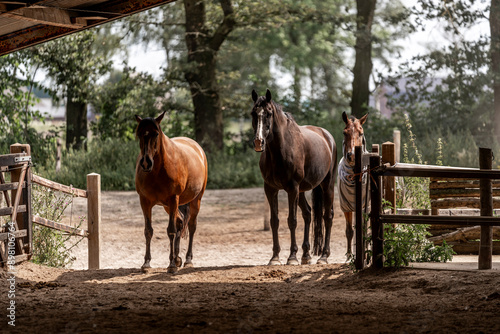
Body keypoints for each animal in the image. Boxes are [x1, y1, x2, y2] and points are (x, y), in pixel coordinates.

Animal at [134, 111, 208, 272]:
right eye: (139, 133)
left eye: (156, 133)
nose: (146, 163)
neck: (157, 171)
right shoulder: (144, 201)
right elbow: (148, 231)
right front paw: (146, 263)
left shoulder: (174, 198)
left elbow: (171, 231)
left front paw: (172, 265)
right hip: (168, 206)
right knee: (180, 221)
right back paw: (177, 257)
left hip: (195, 200)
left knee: (191, 226)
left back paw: (187, 259)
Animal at [252, 89, 338, 266]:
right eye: (253, 113)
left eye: (269, 113)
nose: (258, 142)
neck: (280, 150)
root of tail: (328, 137)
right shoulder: (271, 189)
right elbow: (274, 221)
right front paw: (275, 257)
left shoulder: (292, 188)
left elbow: (292, 221)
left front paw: (292, 257)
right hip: (302, 191)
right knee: (308, 213)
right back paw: (306, 255)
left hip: (327, 185)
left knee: (328, 216)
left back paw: (324, 256)